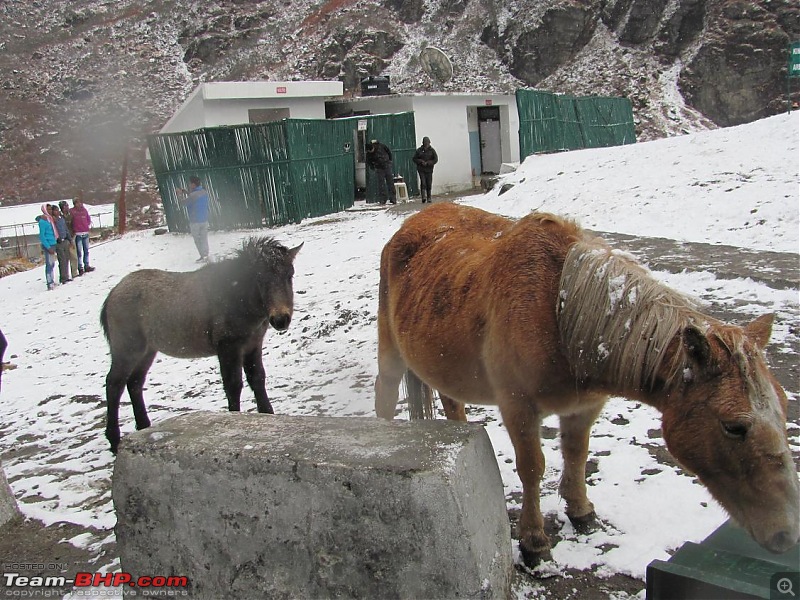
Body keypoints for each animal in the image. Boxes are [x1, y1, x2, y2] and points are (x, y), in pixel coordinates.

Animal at [376, 204, 800, 564]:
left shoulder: (584, 407)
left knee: (452, 403)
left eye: (783, 409)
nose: (786, 534)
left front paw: (581, 511)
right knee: (385, 395)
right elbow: (532, 468)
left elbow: (577, 455)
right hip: (391, 350)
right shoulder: (518, 407)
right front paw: (534, 542)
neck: (559, 313)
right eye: (734, 427)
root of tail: (411, 223)